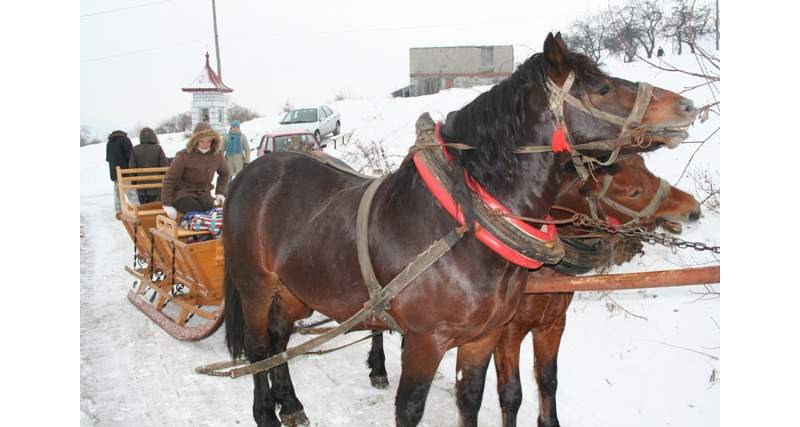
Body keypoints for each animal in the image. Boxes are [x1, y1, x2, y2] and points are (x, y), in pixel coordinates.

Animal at [220, 33, 692, 427]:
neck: (465, 225)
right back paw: (267, 413)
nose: (685, 107)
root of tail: (249, 174)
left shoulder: (485, 337)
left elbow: (473, 398)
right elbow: (412, 408)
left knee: (279, 340)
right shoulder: (426, 343)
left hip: (296, 288)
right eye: (602, 88)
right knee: (259, 348)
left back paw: (291, 404)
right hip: (256, 285)